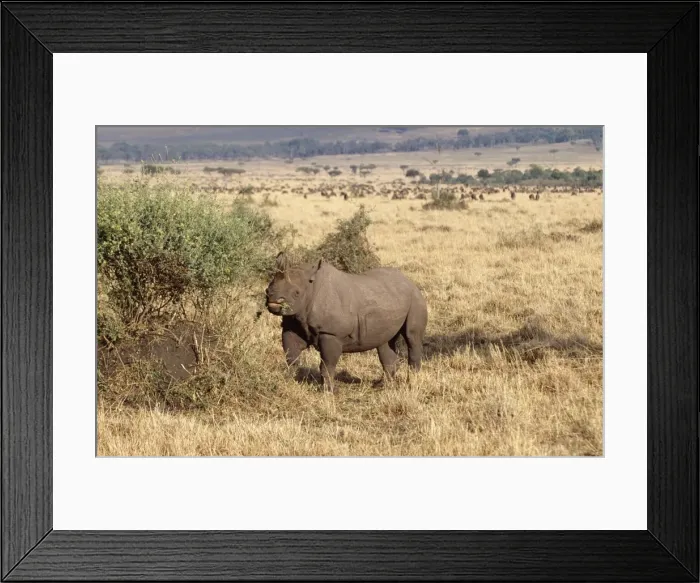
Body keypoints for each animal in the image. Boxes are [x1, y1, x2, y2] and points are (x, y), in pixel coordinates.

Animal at [265, 252, 428, 392]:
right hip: (390, 299)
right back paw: (383, 386)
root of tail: (409, 281)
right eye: (266, 290)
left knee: (412, 338)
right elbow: (291, 358)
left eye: (296, 293)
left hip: (415, 298)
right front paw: (289, 383)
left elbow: (327, 365)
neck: (310, 288)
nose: (273, 299)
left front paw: (330, 392)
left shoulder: (331, 333)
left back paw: (411, 384)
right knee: (384, 343)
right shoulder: (292, 324)